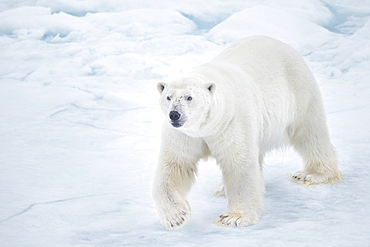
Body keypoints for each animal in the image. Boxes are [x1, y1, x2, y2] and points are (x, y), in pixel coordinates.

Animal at [152, 34, 342, 230]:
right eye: (168, 97)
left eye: (189, 97)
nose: (175, 114)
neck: (206, 127)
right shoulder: (184, 135)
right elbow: (174, 166)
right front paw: (176, 216)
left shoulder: (232, 122)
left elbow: (239, 163)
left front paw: (233, 217)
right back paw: (223, 188)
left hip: (298, 92)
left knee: (310, 133)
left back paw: (311, 174)